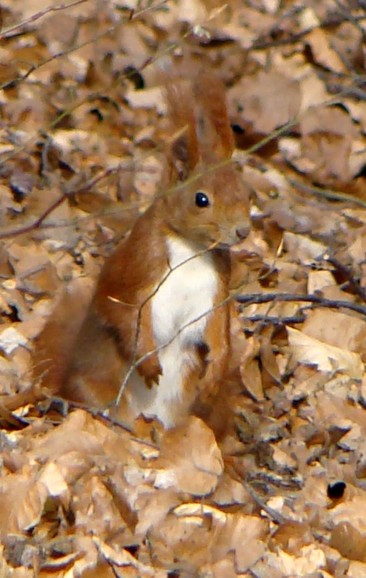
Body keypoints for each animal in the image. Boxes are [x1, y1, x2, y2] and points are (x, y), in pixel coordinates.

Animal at [33, 72, 252, 428]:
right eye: (201, 199)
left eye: (247, 194)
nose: (243, 231)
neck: (191, 249)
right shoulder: (140, 264)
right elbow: (122, 309)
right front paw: (148, 364)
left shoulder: (215, 289)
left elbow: (219, 331)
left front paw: (215, 375)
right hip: (95, 389)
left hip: (179, 402)